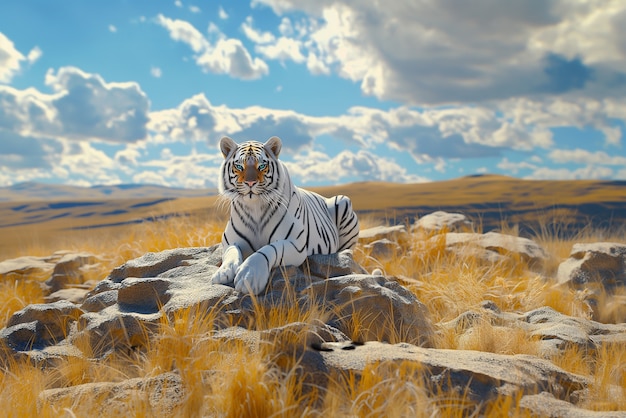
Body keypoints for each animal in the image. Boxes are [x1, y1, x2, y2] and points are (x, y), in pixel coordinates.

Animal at [210, 136, 356, 294]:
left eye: (262, 166)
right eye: (239, 166)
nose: (250, 182)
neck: (255, 207)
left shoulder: (295, 245)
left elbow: (269, 249)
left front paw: (249, 276)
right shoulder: (230, 242)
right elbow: (231, 252)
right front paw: (223, 272)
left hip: (343, 201)